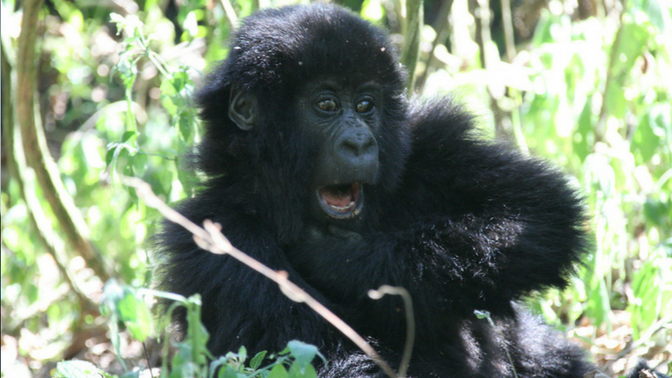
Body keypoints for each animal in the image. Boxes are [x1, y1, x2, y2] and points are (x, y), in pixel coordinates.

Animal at [155, 3, 648, 378]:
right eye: (326, 104)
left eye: (366, 105)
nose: (360, 143)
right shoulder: (208, 236)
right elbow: (318, 355)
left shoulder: (427, 140)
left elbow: (540, 211)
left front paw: (342, 262)